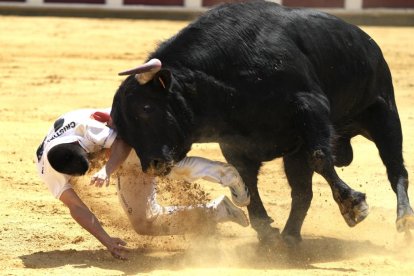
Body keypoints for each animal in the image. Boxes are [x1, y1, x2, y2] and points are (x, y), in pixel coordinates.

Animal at [110, 1, 414, 244]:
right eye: (123, 130)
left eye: (146, 108)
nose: (152, 165)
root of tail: (366, 41)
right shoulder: (235, 145)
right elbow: (247, 181)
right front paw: (266, 231)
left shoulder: (311, 107)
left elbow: (320, 157)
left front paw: (353, 206)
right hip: (296, 154)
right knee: (302, 192)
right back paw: (290, 237)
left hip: (384, 116)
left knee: (396, 170)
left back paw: (404, 220)